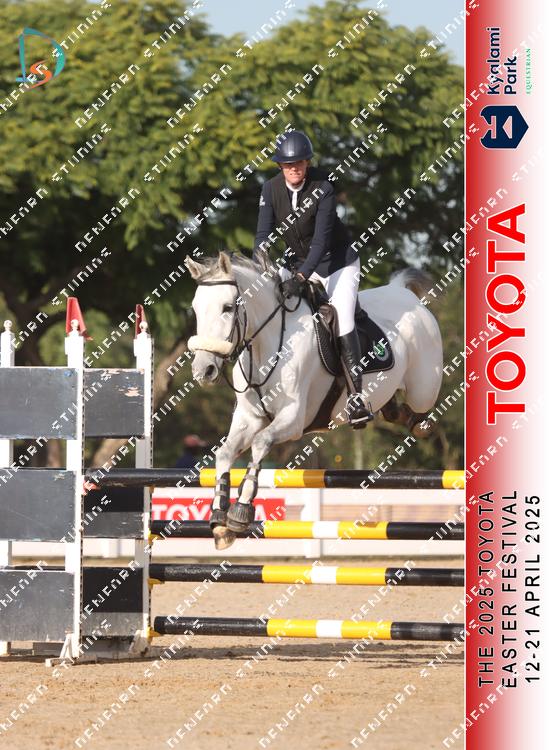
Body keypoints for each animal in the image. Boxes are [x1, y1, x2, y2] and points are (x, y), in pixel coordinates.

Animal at [185, 250, 443, 549]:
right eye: (195, 308)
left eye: (227, 307)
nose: (203, 370)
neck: (266, 345)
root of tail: (401, 291)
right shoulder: (249, 418)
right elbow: (225, 453)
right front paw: (219, 522)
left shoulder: (293, 419)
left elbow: (261, 443)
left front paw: (241, 511)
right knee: (392, 409)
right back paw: (393, 412)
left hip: (423, 388)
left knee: (421, 408)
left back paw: (418, 424)